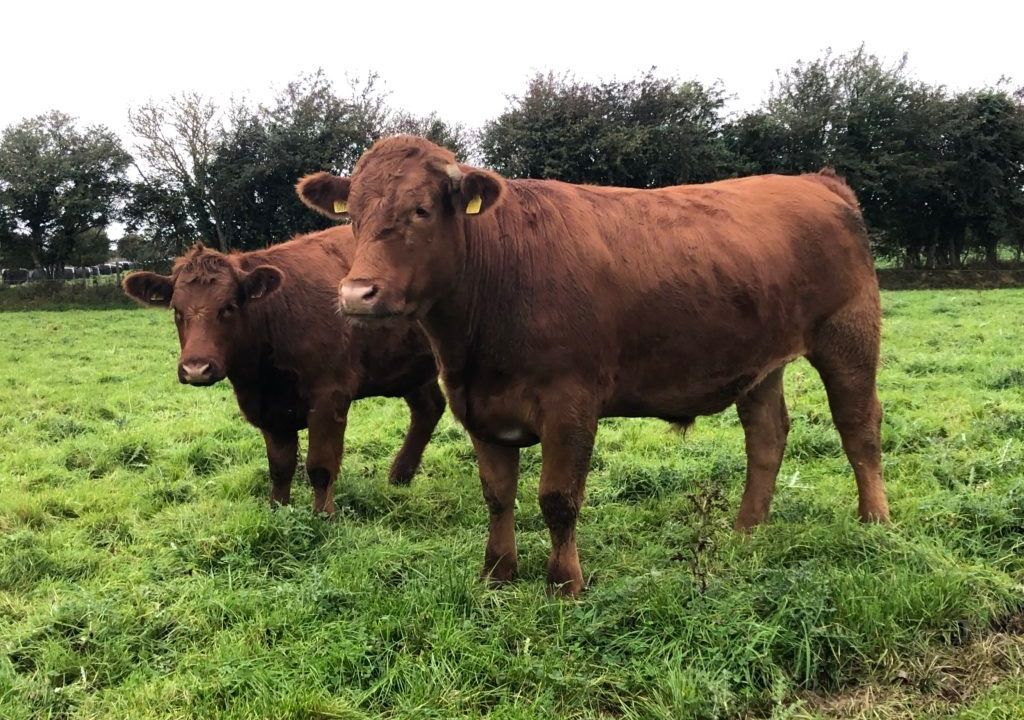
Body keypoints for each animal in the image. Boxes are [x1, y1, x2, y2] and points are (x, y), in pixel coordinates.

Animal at [122, 225, 445, 514]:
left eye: (228, 307)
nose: (196, 368)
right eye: (177, 310)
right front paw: (277, 511)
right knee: (429, 408)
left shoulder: (330, 397)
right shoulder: (268, 410)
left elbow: (320, 466)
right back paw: (398, 477)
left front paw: (324, 517)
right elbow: (280, 467)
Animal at [296, 135, 891, 596]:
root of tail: (817, 181)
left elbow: (558, 499)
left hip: (849, 332)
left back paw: (875, 521)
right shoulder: (479, 407)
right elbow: (497, 496)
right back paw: (747, 530)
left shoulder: (570, 405)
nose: (357, 294)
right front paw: (497, 573)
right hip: (761, 362)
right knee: (766, 436)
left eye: (420, 209)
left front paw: (565, 583)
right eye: (354, 216)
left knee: (858, 426)